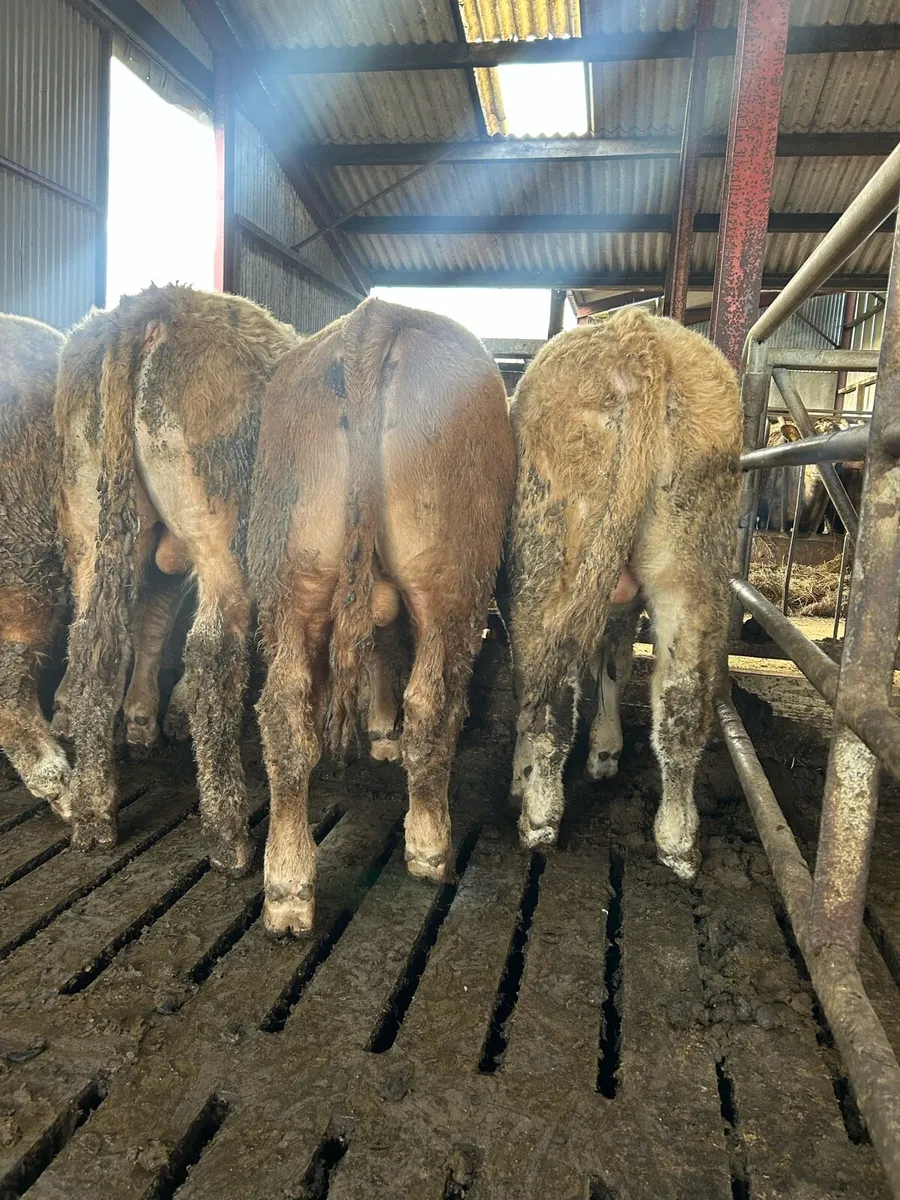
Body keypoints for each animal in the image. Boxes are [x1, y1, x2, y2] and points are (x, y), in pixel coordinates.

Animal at [54, 284, 298, 864]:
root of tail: (152, 311)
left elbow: (155, 621)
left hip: (92, 524)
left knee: (94, 642)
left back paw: (93, 810)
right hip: (224, 529)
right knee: (212, 649)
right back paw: (227, 834)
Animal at [248, 297, 516, 935]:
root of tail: (375, 319)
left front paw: (376, 733)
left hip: (292, 572)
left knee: (285, 711)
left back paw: (287, 889)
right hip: (451, 579)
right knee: (433, 704)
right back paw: (430, 846)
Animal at [506, 308, 741, 883]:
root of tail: (637, 334)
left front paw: (523, 774)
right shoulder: (621, 605)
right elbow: (615, 662)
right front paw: (606, 750)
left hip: (551, 558)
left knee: (551, 694)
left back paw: (539, 817)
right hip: (691, 561)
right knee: (682, 698)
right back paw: (677, 841)